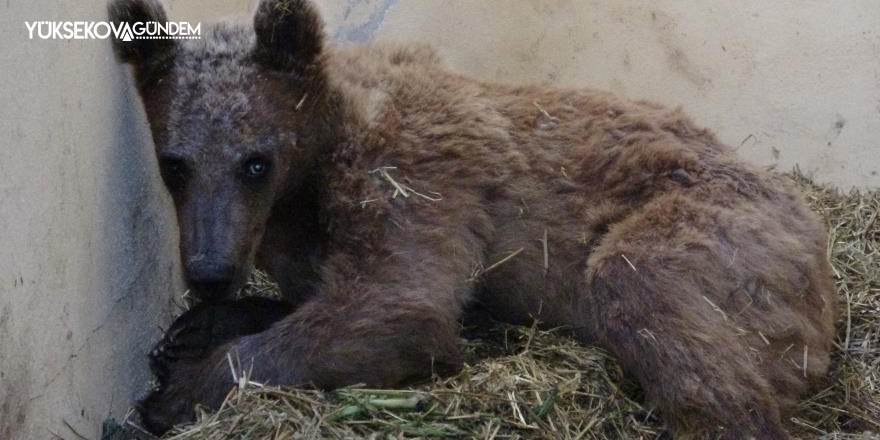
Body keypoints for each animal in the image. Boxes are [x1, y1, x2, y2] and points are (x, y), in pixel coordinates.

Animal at [108, 0, 840, 436]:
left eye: (254, 161)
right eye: (174, 164)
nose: (208, 270)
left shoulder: (411, 174)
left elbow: (399, 305)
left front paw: (175, 391)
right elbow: (321, 297)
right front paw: (192, 329)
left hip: (720, 227)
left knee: (646, 290)